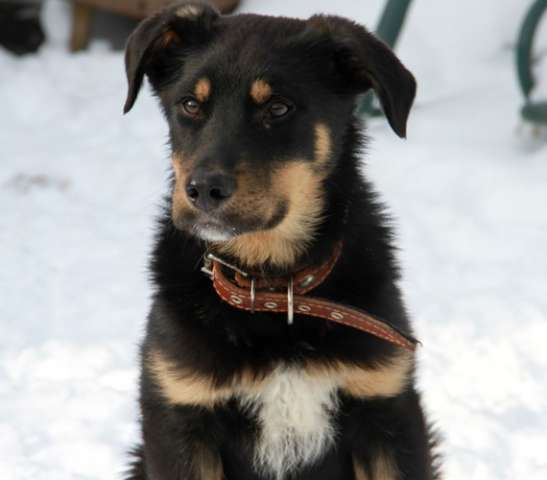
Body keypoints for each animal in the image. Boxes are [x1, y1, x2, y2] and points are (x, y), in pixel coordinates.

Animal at [123, 1, 440, 478]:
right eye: (190, 104)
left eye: (278, 108)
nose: (203, 190)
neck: (273, 289)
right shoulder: (180, 414)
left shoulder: (388, 409)